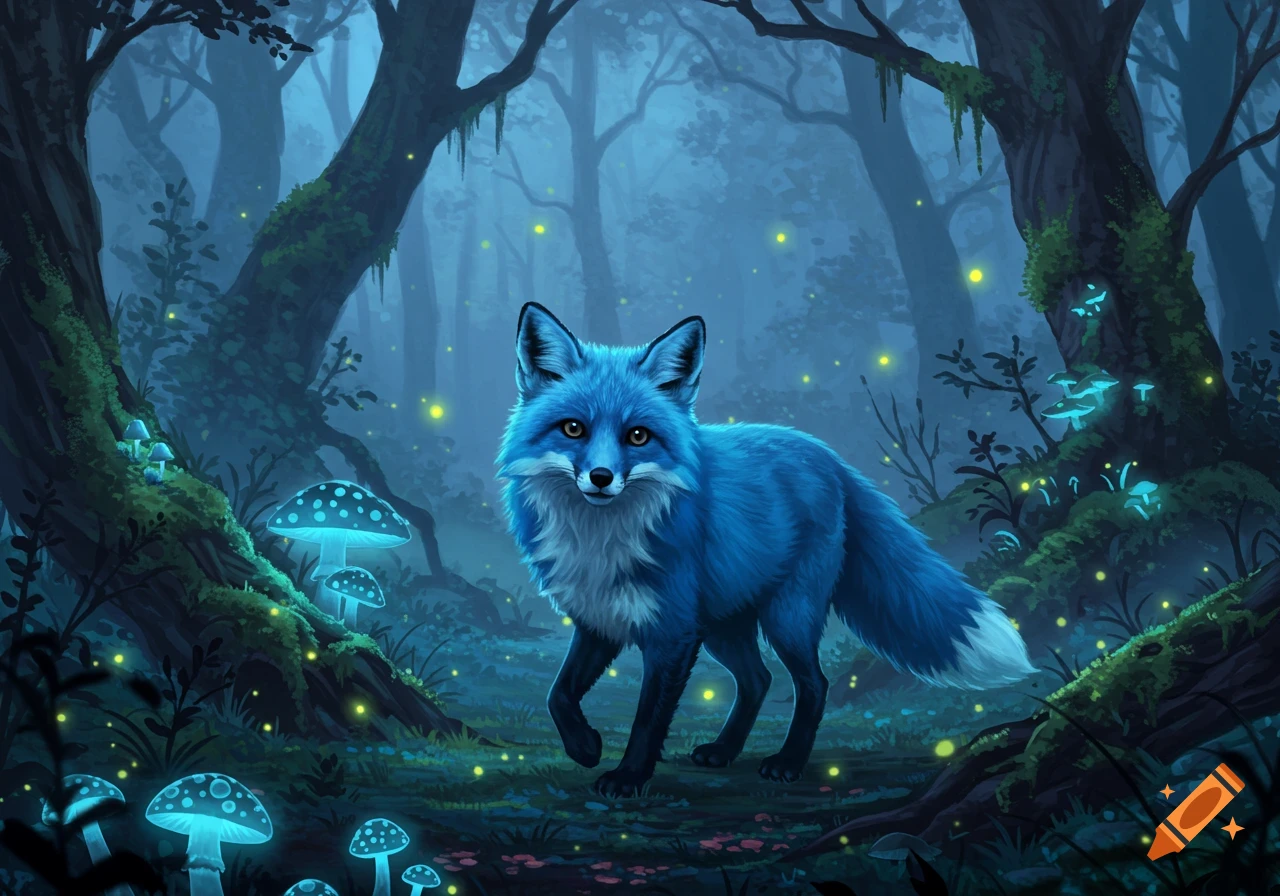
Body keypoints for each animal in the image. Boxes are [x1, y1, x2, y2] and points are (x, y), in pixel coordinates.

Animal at [497, 302, 1035, 798]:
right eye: (573, 429)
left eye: (637, 435)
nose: (601, 478)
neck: (600, 539)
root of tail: (830, 457)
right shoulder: (600, 617)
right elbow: (558, 694)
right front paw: (584, 746)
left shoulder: (672, 630)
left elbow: (647, 718)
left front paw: (629, 776)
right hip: (723, 624)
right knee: (757, 680)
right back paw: (723, 750)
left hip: (785, 617)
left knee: (812, 685)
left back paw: (788, 763)